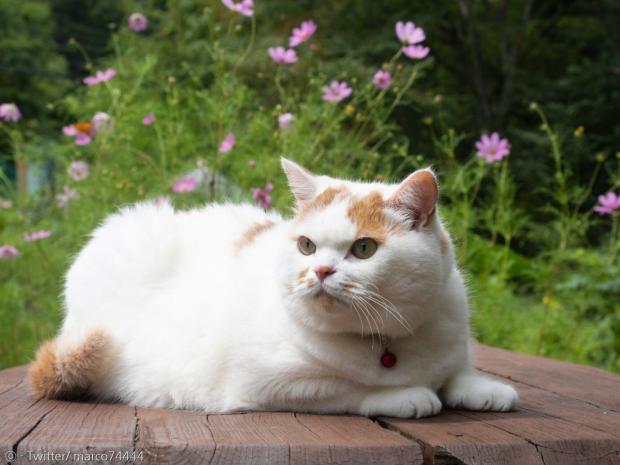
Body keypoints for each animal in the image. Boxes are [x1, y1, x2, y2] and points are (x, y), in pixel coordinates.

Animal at [29, 159, 516, 416]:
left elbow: (456, 372)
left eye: (363, 248)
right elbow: (346, 389)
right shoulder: (267, 383)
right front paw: (405, 395)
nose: (320, 271)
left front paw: (485, 389)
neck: (386, 340)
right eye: (306, 245)